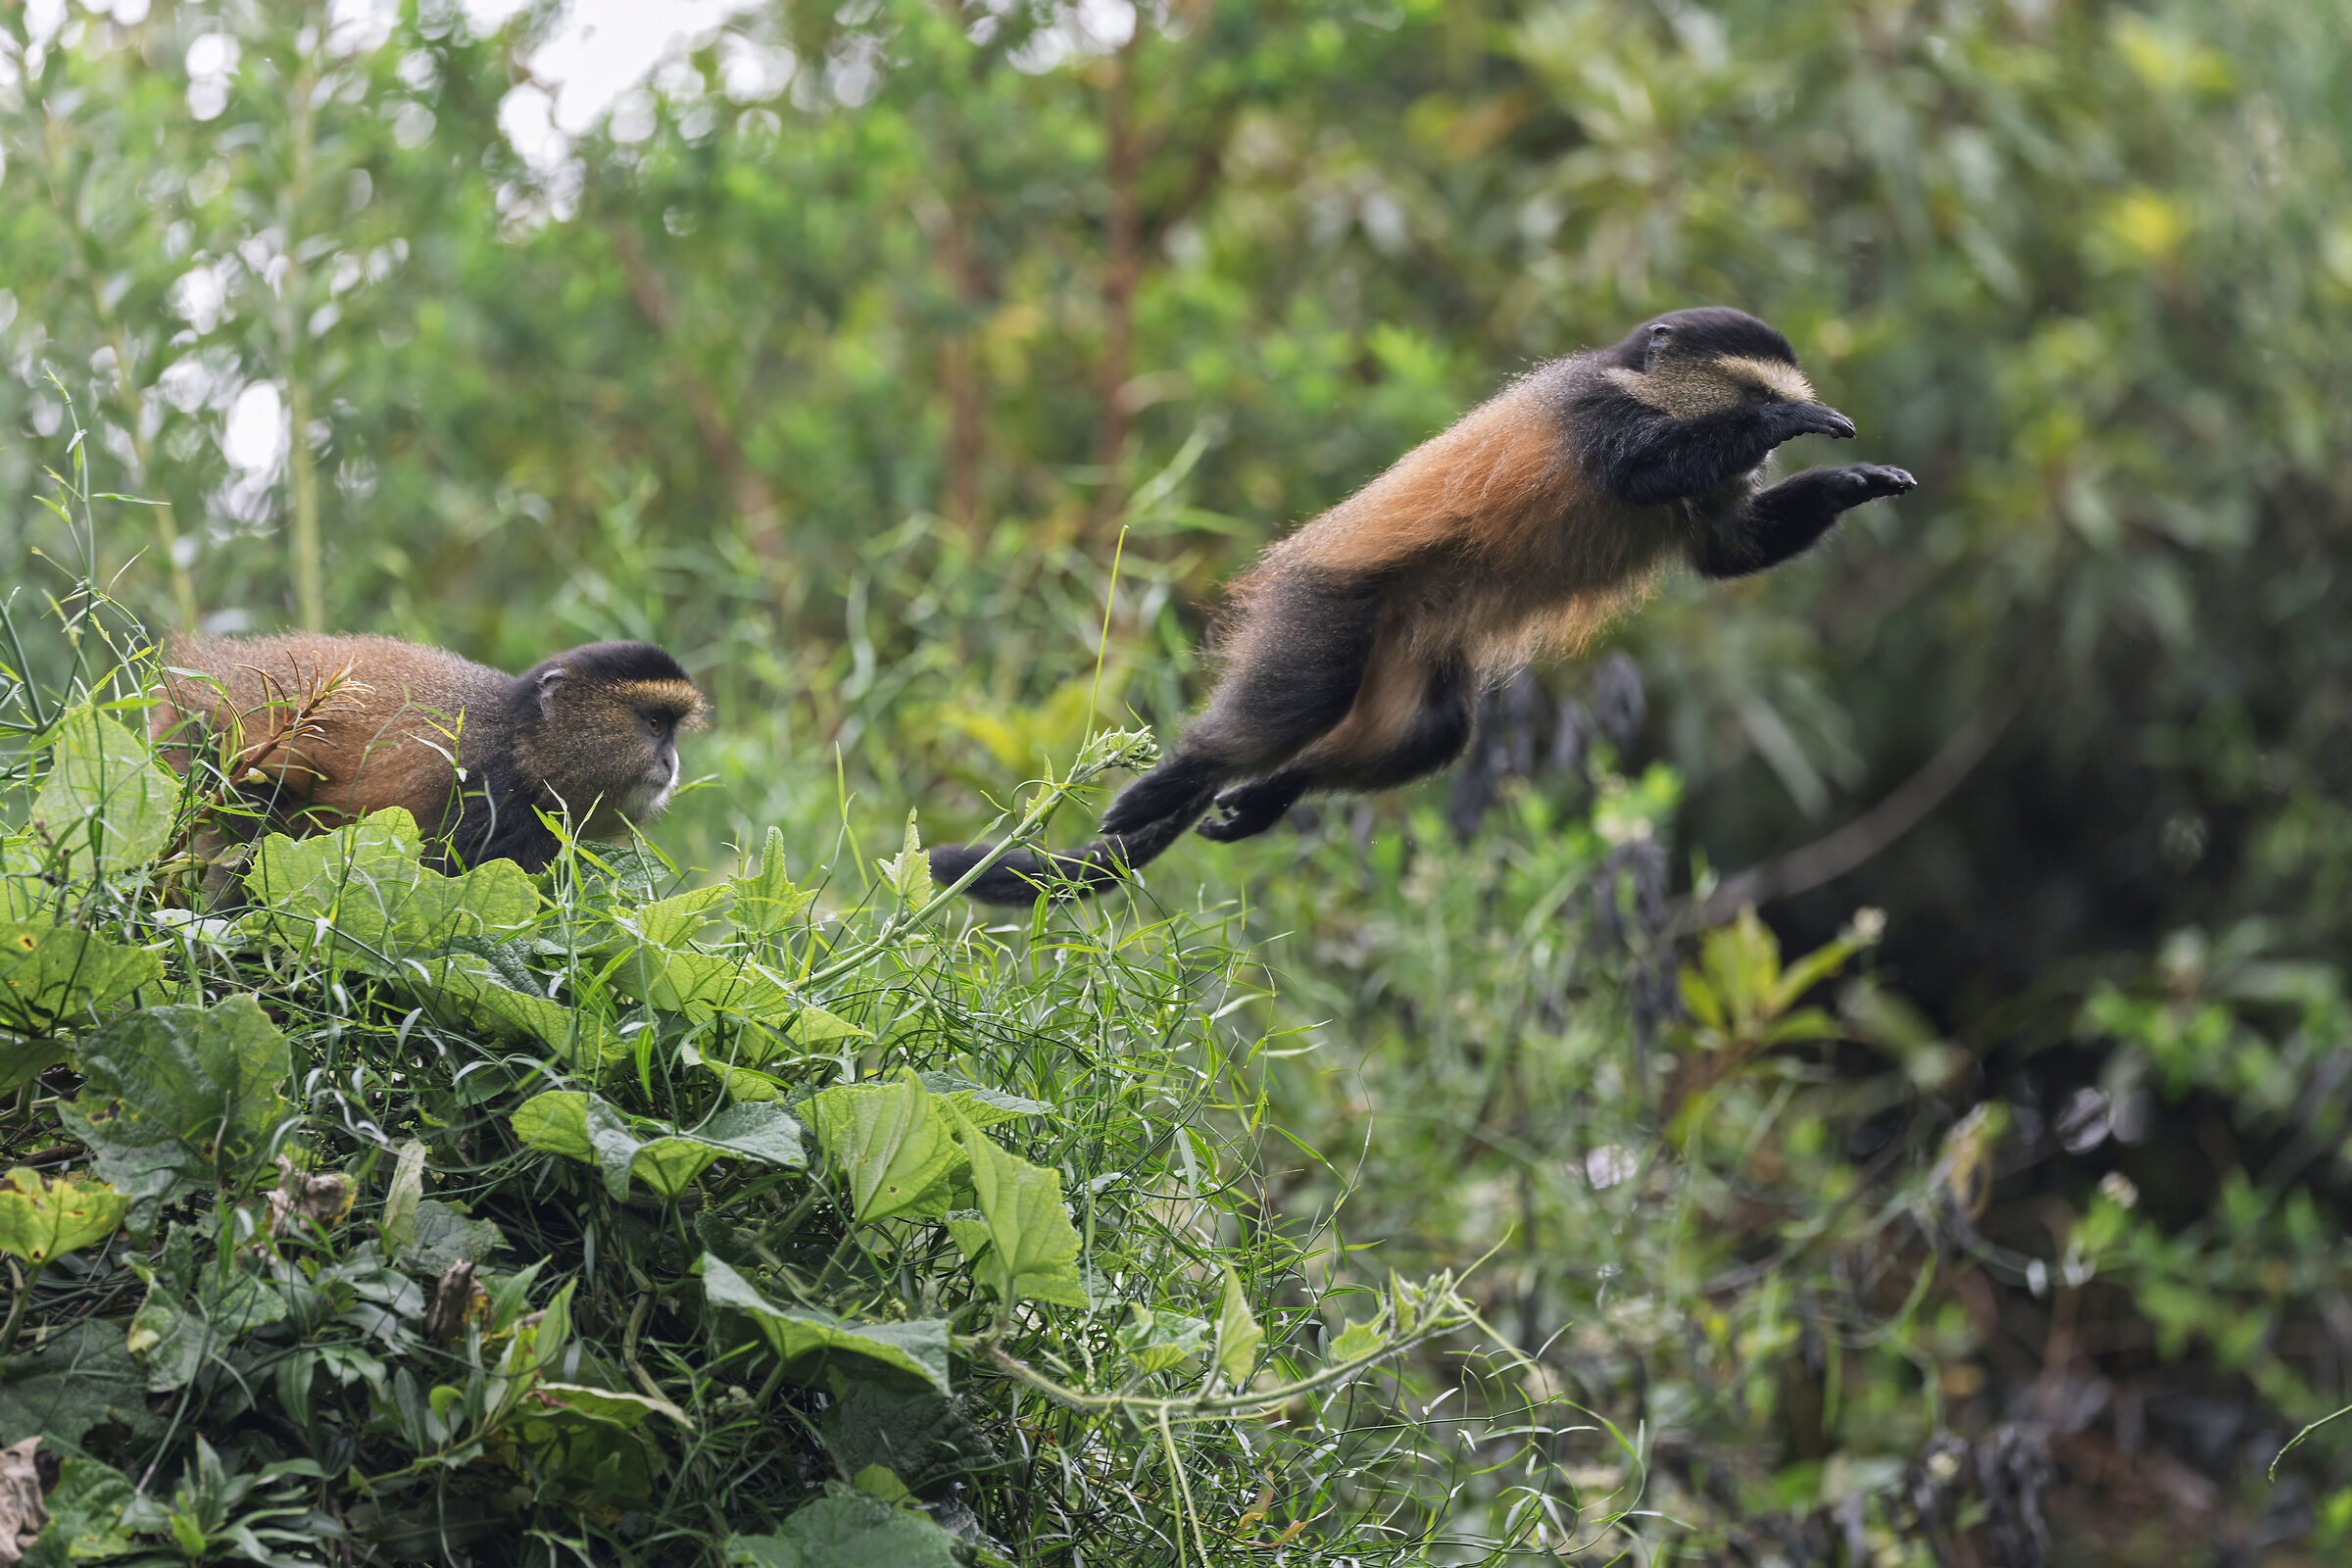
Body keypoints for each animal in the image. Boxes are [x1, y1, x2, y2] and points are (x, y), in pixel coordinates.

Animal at [929, 307, 1915, 905]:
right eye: (1750, 391)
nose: (1768, 439)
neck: (1640, 385)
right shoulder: (1593, 418)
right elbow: (1644, 474)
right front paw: (1790, 429)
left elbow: (1727, 551)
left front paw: (1853, 482)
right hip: (1327, 612)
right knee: (1302, 699)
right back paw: (1180, 778)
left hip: (1414, 654)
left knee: (1431, 733)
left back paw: (1272, 793)